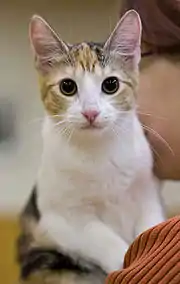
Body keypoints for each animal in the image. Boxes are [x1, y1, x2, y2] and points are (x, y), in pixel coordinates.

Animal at [16, 10, 165, 284]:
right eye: (67, 86)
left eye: (110, 84)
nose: (91, 112)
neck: (99, 150)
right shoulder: (58, 219)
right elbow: (102, 239)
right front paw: (128, 262)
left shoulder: (148, 196)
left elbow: (151, 227)